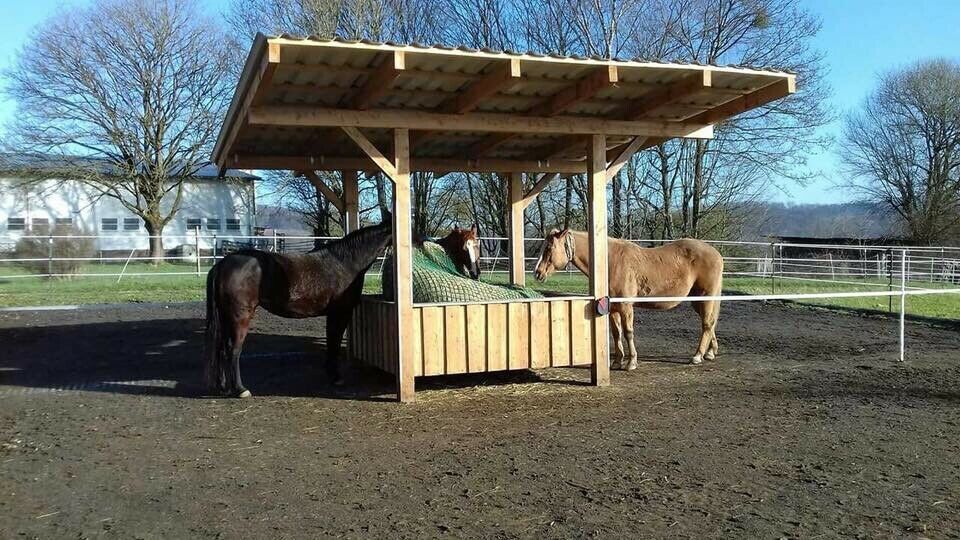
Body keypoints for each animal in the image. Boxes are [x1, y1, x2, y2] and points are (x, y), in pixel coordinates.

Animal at [206, 219, 394, 396]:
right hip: (240, 317)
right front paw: (336, 377)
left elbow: (331, 341)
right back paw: (241, 389)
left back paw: (223, 388)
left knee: (221, 349)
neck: (345, 263)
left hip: (226, 317)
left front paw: (331, 374)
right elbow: (335, 342)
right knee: (233, 350)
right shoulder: (340, 312)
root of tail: (222, 264)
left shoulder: (332, 314)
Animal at [532, 226, 720, 370]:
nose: (537, 273)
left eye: (549, 248)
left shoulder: (625, 307)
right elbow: (616, 333)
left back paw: (697, 356)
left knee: (707, 324)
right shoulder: (612, 309)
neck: (609, 262)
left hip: (705, 297)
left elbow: (628, 333)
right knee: (710, 323)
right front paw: (616, 362)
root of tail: (716, 253)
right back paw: (710, 352)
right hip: (697, 301)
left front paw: (631, 363)